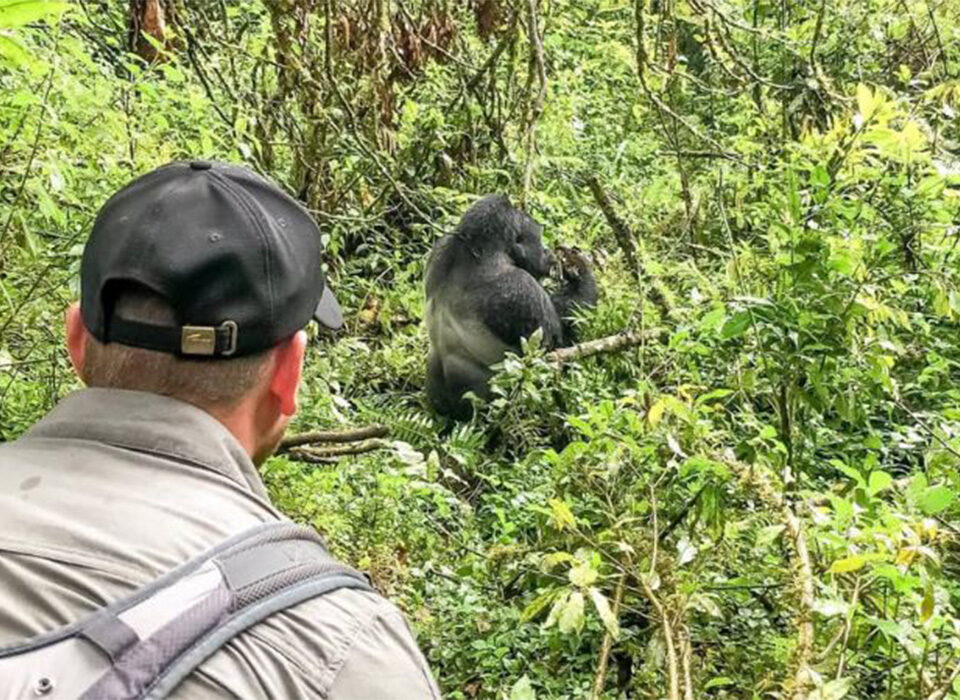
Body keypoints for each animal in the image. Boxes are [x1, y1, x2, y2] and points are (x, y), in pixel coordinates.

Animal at [424, 194, 597, 419]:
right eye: (539, 239)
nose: (547, 251)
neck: (478, 250)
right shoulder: (521, 284)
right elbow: (552, 350)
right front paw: (579, 268)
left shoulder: (440, 247)